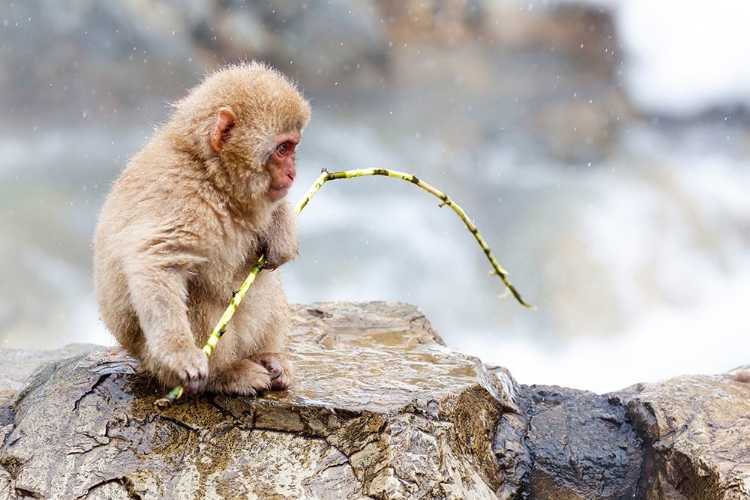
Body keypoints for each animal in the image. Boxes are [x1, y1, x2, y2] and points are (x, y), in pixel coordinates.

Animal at [94, 62, 312, 396]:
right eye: (282, 149)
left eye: (292, 148)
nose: (292, 173)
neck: (211, 174)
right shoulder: (182, 198)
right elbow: (157, 262)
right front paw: (179, 353)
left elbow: (273, 210)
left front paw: (283, 234)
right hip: (153, 360)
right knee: (200, 295)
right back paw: (226, 374)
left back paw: (266, 356)